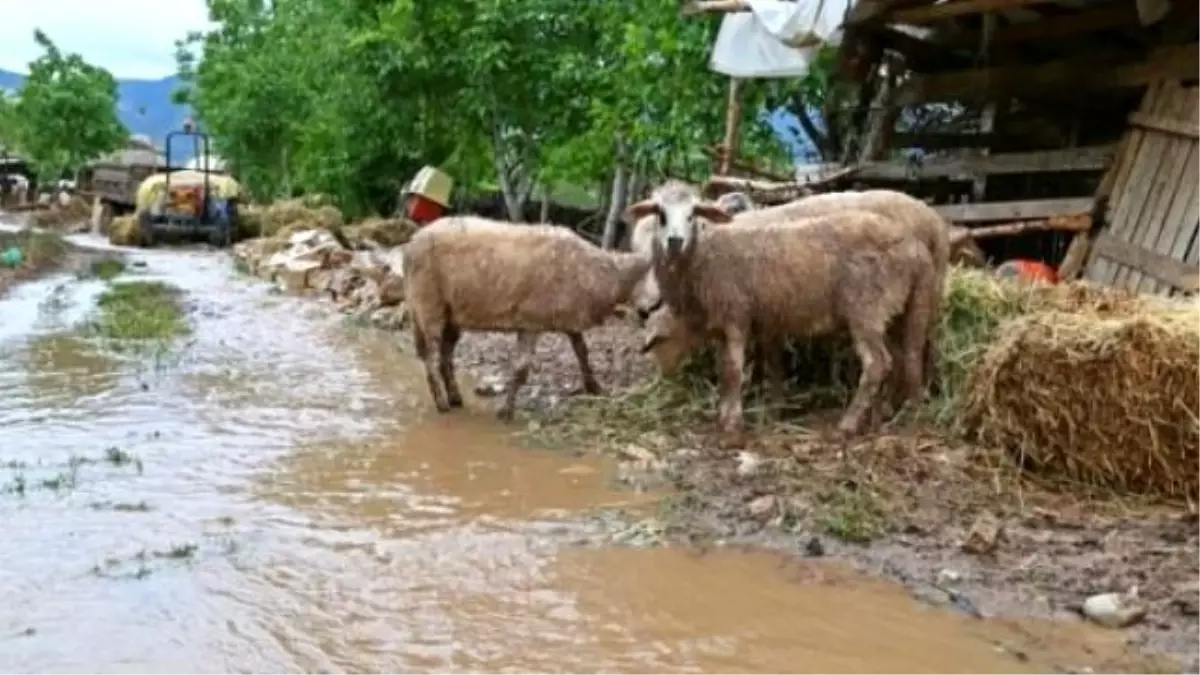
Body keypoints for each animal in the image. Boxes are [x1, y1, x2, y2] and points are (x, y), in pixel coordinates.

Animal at [403, 214, 652, 417]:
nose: (647, 313)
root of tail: (411, 243)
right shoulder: (531, 321)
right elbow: (521, 368)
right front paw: (506, 411)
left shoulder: (567, 318)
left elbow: (582, 351)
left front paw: (595, 388)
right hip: (428, 304)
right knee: (432, 357)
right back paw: (442, 402)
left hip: (450, 313)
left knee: (445, 357)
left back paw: (455, 397)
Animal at [628, 178, 936, 444]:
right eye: (660, 213)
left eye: (692, 214)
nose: (675, 241)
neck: (704, 256)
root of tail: (917, 249)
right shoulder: (741, 323)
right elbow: (736, 368)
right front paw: (735, 412)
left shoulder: (737, 314)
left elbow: (733, 370)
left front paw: (734, 423)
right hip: (898, 311)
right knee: (906, 357)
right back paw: (890, 414)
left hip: (866, 310)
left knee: (877, 364)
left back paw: (848, 424)